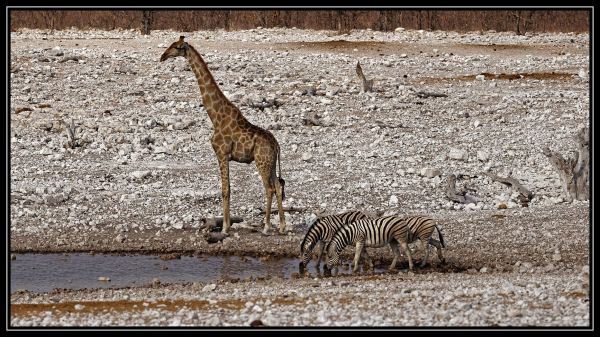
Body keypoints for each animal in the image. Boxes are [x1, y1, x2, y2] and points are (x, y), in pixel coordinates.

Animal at [159, 36, 286, 234]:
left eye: (177, 47)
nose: (162, 56)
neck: (215, 117)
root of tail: (277, 145)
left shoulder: (221, 153)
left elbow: (225, 190)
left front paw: (225, 227)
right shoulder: (224, 155)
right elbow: (228, 189)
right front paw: (226, 225)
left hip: (261, 162)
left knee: (269, 188)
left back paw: (266, 226)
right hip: (271, 163)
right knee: (279, 187)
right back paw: (282, 226)